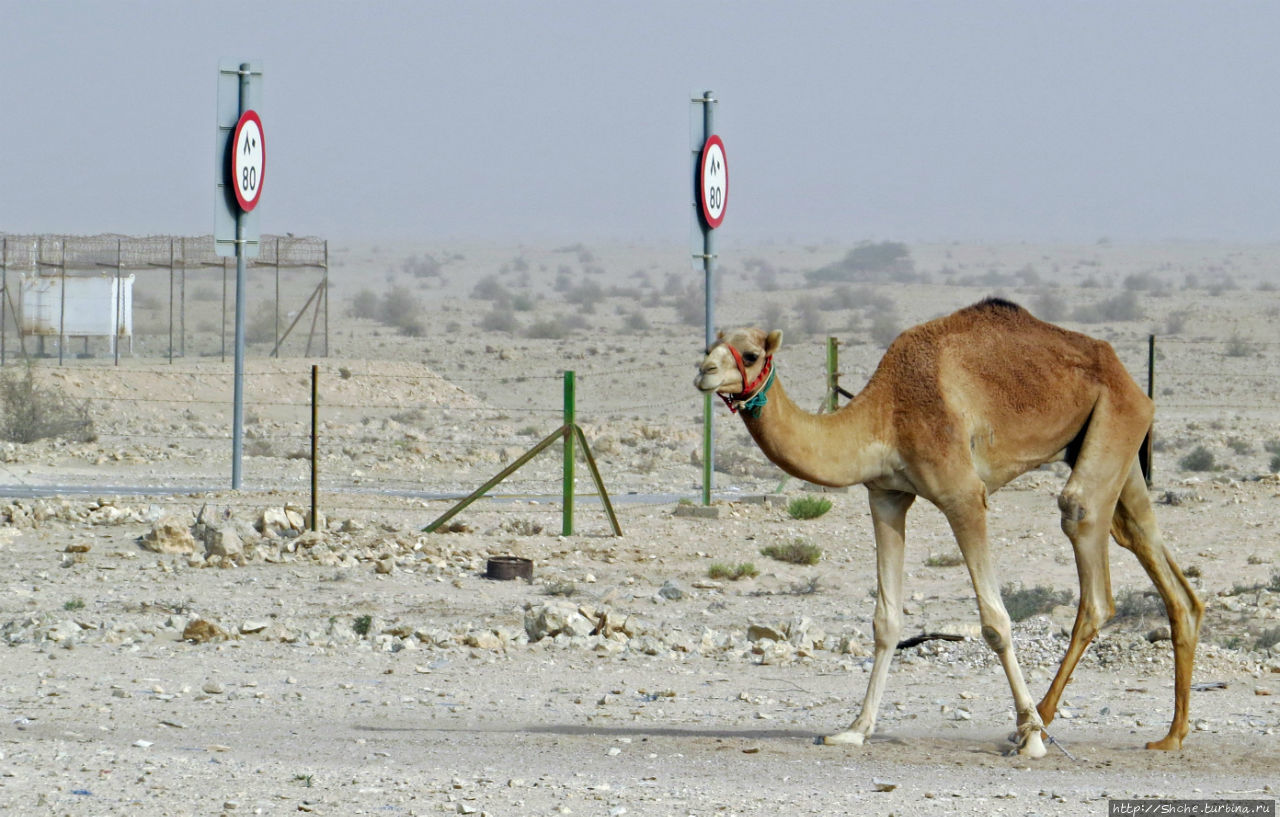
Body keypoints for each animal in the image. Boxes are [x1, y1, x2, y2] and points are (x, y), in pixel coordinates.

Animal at [696, 297, 1203, 758]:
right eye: (710, 345)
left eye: (751, 354)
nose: (704, 370)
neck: (884, 414)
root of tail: (1127, 375)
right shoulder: (886, 495)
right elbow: (886, 621)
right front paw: (854, 730)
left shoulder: (963, 495)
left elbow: (996, 623)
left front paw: (1031, 738)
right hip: (1113, 443)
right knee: (1150, 550)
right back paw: (1170, 735)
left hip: (1114, 418)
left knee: (1087, 551)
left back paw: (1038, 724)